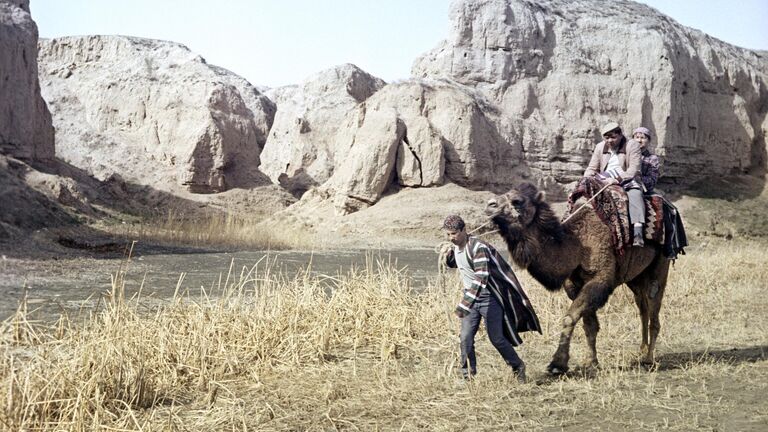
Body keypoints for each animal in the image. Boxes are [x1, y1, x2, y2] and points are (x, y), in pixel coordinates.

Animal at [486, 182, 672, 374]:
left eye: (517, 201)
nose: (490, 205)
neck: (577, 247)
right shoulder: (574, 285)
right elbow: (589, 325)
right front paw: (591, 363)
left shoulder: (599, 280)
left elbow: (570, 317)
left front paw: (558, 364)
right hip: (635, 277)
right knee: (642, 306)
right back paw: (642, 350)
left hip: (661, 264)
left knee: (653, 303)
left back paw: (649, 359)